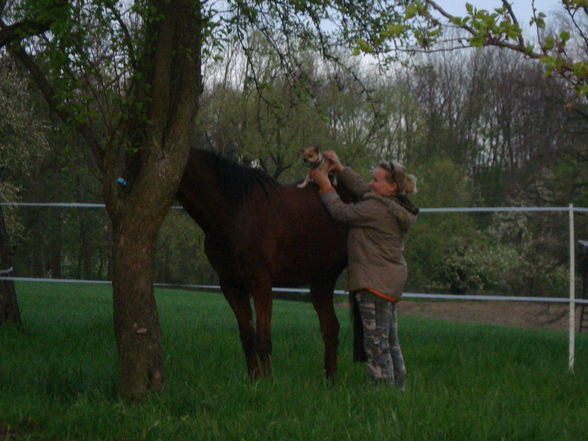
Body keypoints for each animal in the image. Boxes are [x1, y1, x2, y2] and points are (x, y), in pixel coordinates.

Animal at [177, 148, 356, 378]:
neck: (236, 213)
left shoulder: (261, 282)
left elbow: (263, 340)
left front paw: (268, 382)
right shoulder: (231, 284)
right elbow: (247, 337)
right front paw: (254, 380)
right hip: (322, 279)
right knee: (330, 328)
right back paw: (330, 380)